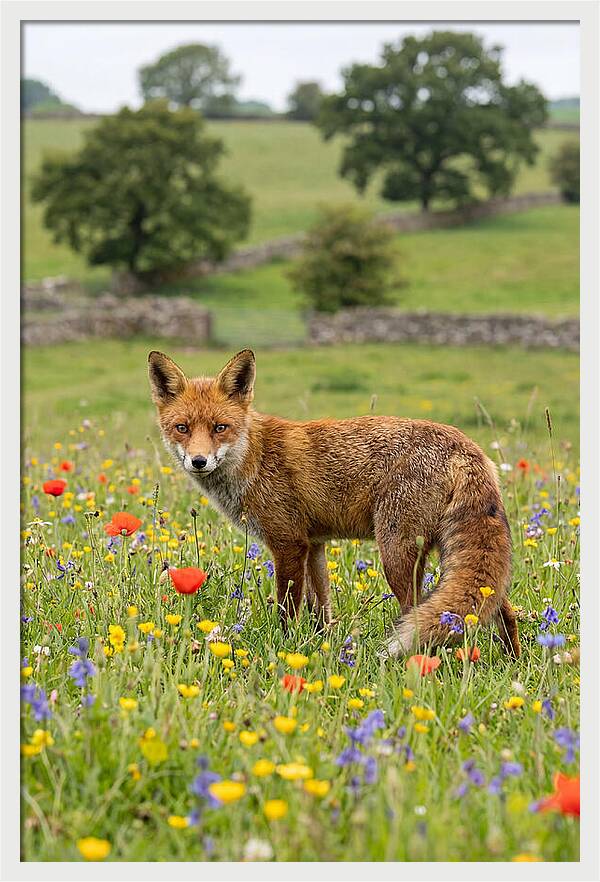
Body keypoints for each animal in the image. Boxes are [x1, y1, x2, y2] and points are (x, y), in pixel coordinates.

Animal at [148, 348, 520, 658]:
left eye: (219, 427)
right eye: (182, 428)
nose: (198, 461)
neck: (254, 457)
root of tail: (465, 446)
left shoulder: (288, 543)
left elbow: (288, 609)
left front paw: (284, 648)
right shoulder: (314, 545)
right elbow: (321, 609)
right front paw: (321, 646)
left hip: (396, 553)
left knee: (415, 612)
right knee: (502, 609)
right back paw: (512, 661)